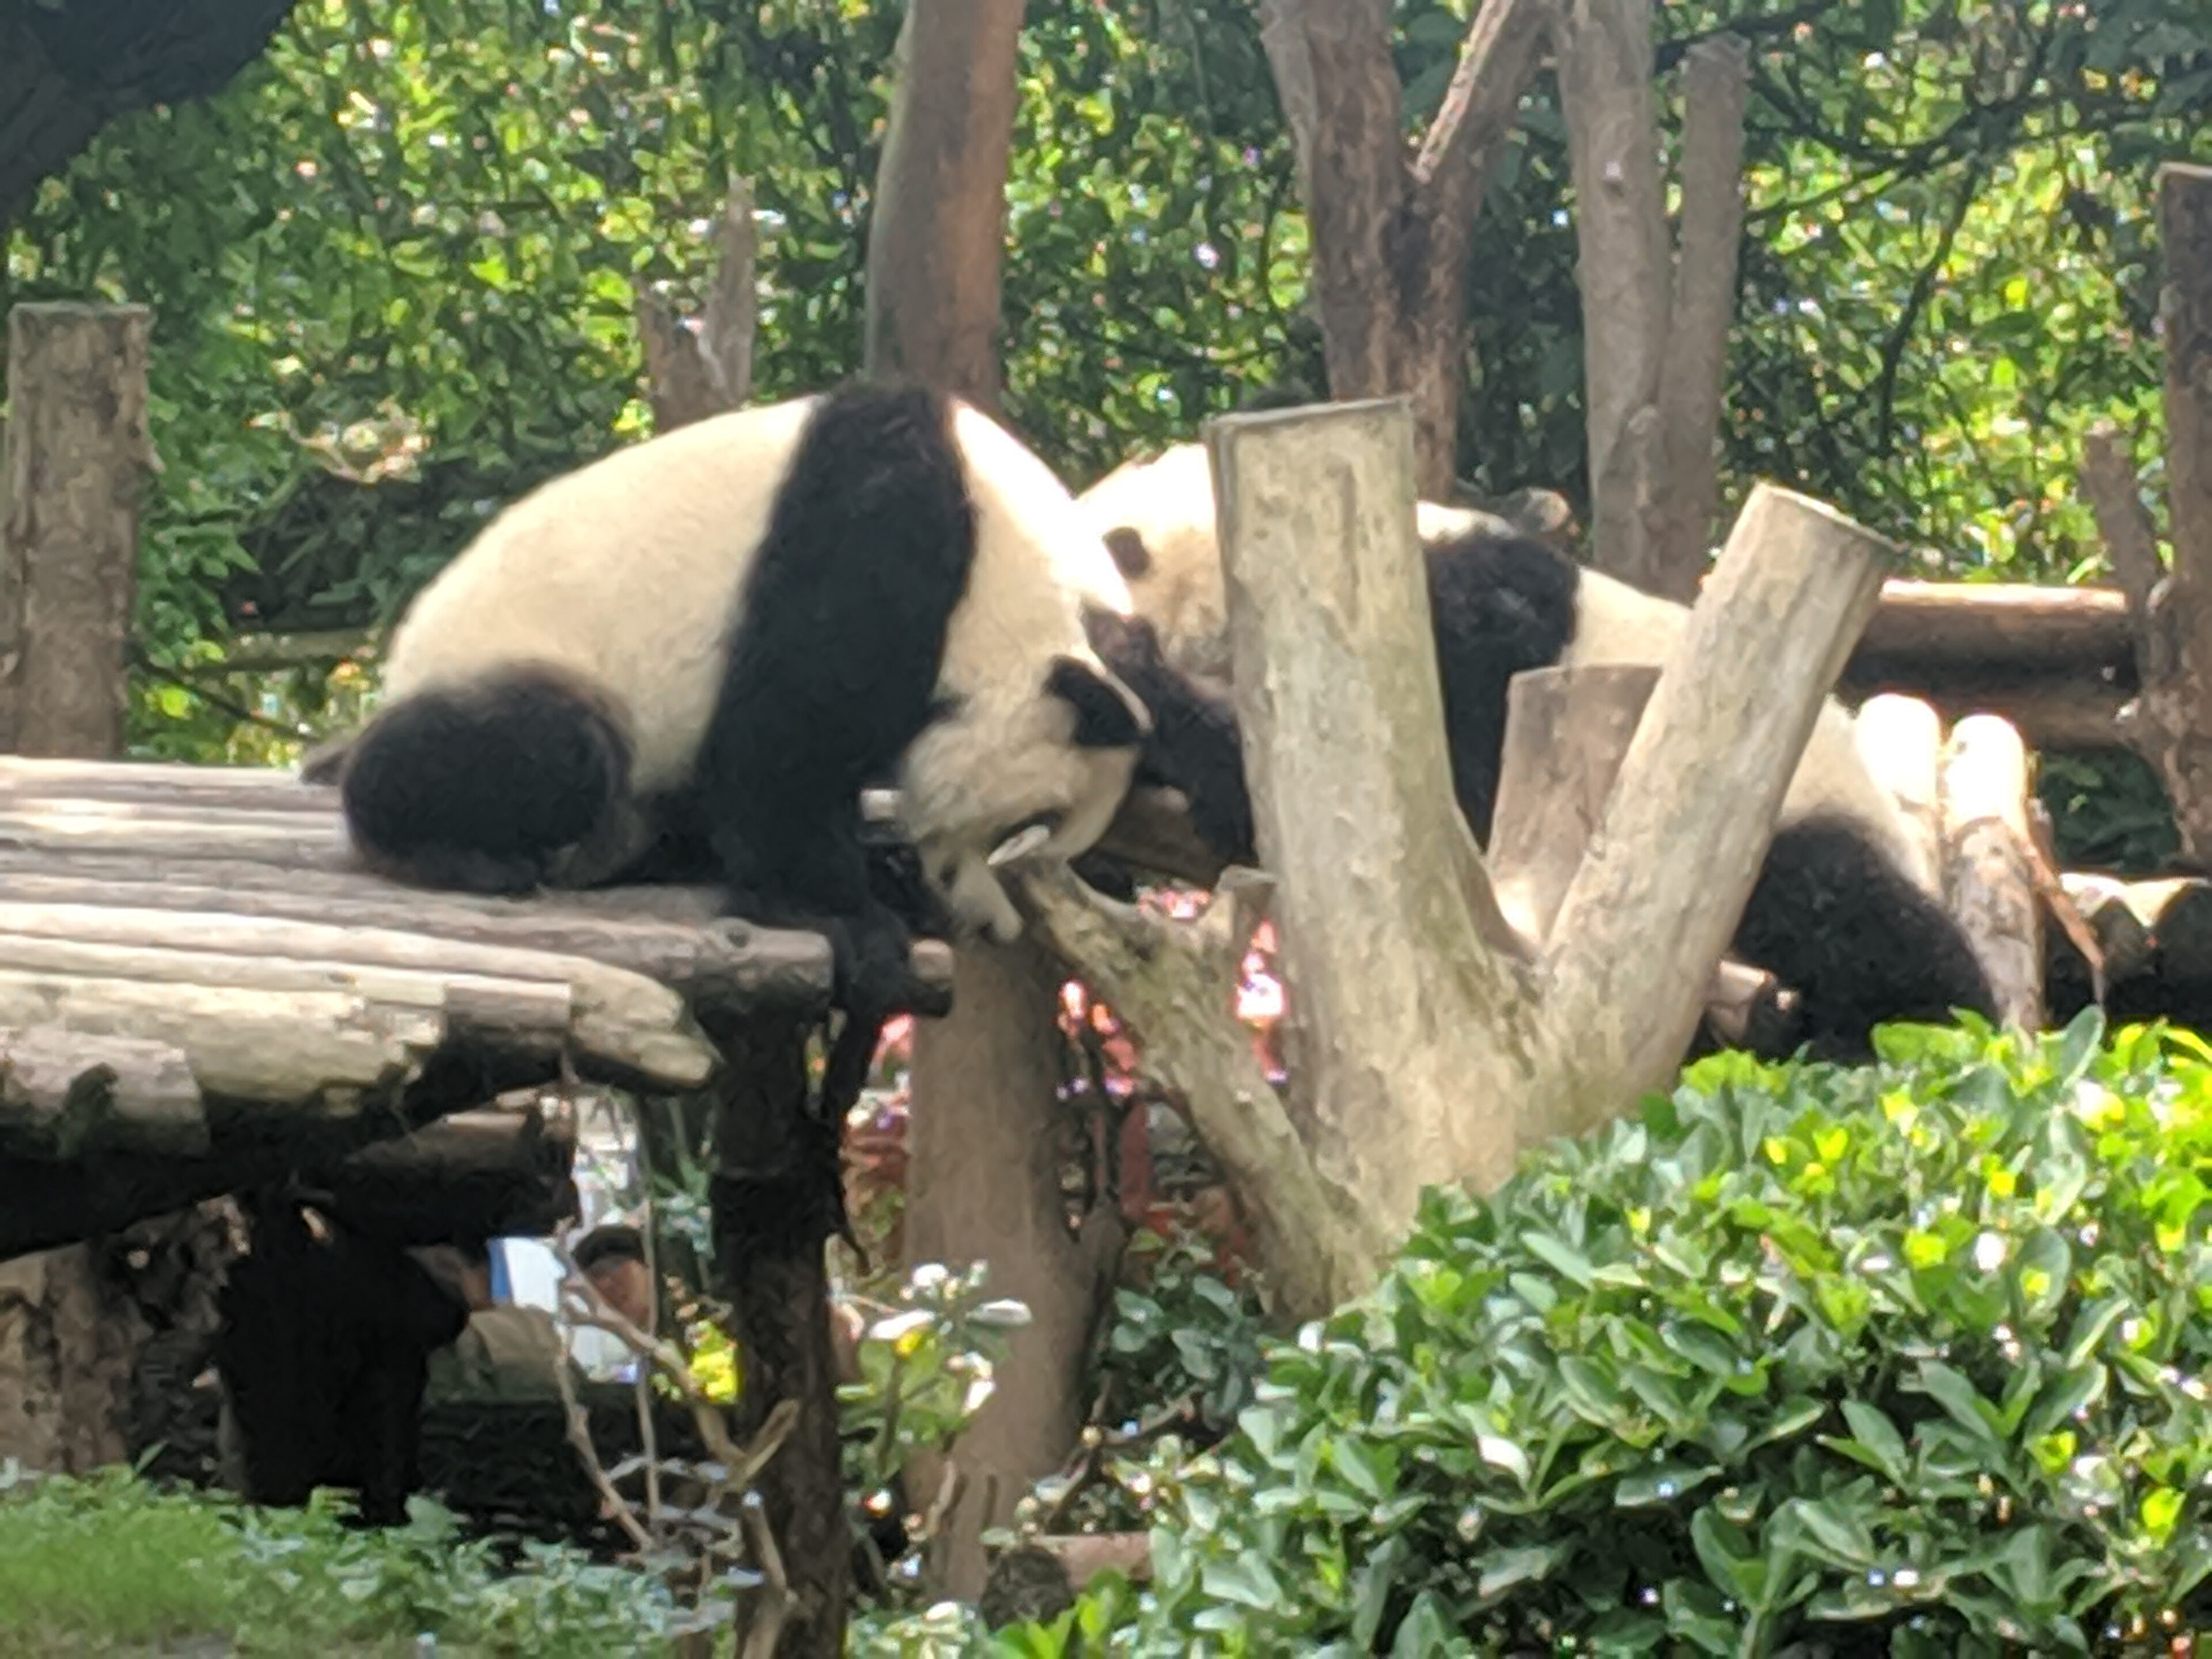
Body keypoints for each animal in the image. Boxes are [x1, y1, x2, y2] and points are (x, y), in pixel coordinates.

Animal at [329, 382, 1150, 1111]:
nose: (990, 926)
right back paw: (455, 850)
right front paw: (848, 925)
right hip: (523, 663)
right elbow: (788, 743)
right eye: (1021, 830)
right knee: (557, 749)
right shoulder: (876, 531)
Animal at [1074, 441, 1998, 1063]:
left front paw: (1125, 663)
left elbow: (1425, 788)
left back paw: (1909, 1025)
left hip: (1784, 813)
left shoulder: (1464, 634)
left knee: (1854, 913)